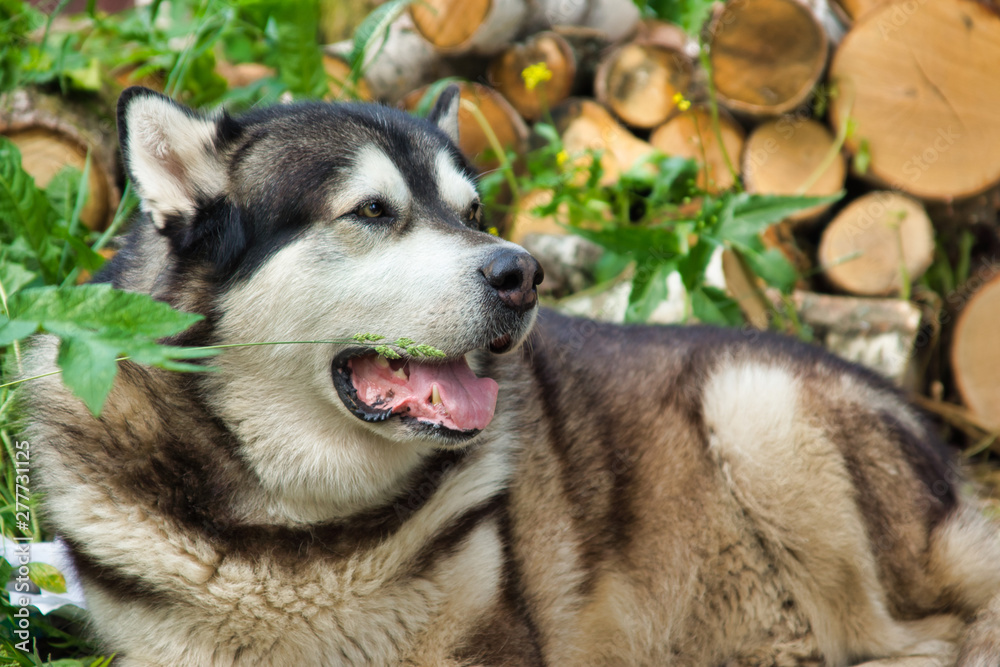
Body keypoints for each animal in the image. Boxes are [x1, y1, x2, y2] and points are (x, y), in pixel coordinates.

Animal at [21, 86, 1000, 664]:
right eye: (371, 211)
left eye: (474, 211)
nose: (521, 271)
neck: (301, 534)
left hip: (756, 407)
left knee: (935, 637)